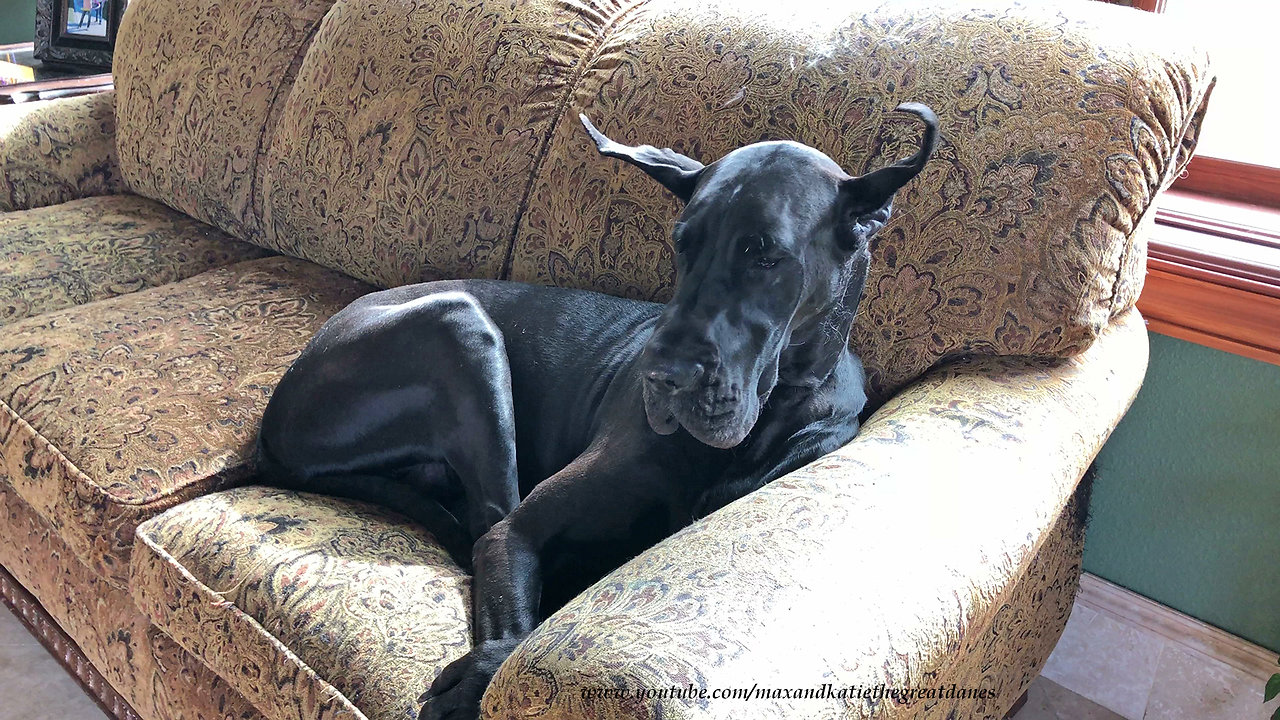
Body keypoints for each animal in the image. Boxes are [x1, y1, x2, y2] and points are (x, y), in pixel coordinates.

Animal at [257, 102, 942, 717]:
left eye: (765, 253)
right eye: (682, 243)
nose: (660, 378)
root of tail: (271, 428)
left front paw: (477, 672)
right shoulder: (517, 537)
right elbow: (519, 611)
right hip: (461, 327)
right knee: (486, 517)